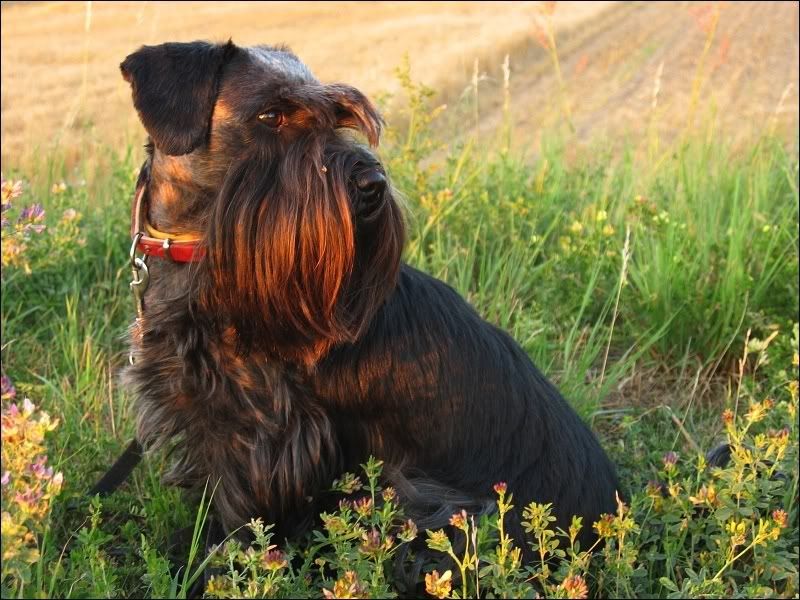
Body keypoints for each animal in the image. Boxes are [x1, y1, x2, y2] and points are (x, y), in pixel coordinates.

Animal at [120, 39, 622, 571]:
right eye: (271, 115)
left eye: (338, 118)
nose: (372, 184)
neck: (196, 253)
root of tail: (603, 531)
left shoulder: (265, 440)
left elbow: (239, 516)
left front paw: (212, 567)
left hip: (438, 505)